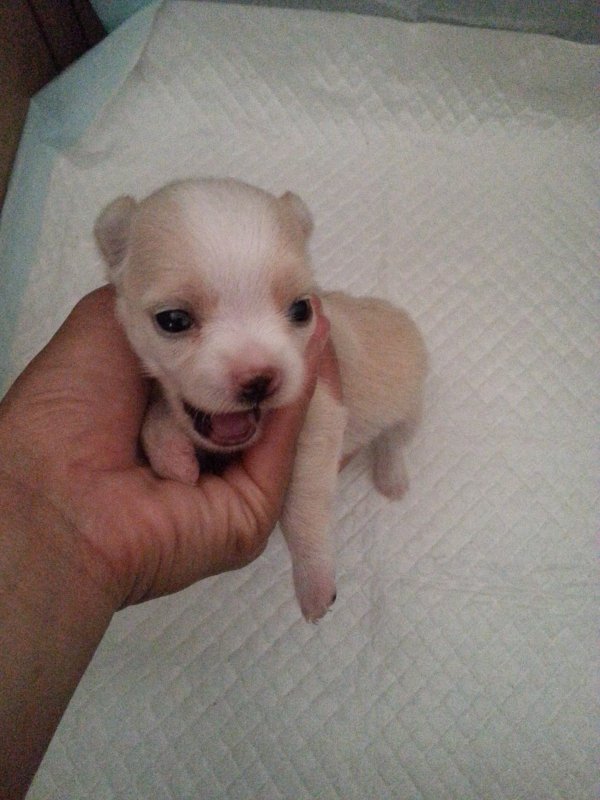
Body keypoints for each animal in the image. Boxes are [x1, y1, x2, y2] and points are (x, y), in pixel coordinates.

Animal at [94, 178, 427, 621]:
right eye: (173, 320)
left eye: (301, 309)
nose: (259, 380)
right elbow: (162, 415)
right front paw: (173, 457)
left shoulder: (320, 415)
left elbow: (303, 504)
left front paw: (315, 581)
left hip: (411, 401)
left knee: (394, 439)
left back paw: (391, 477)